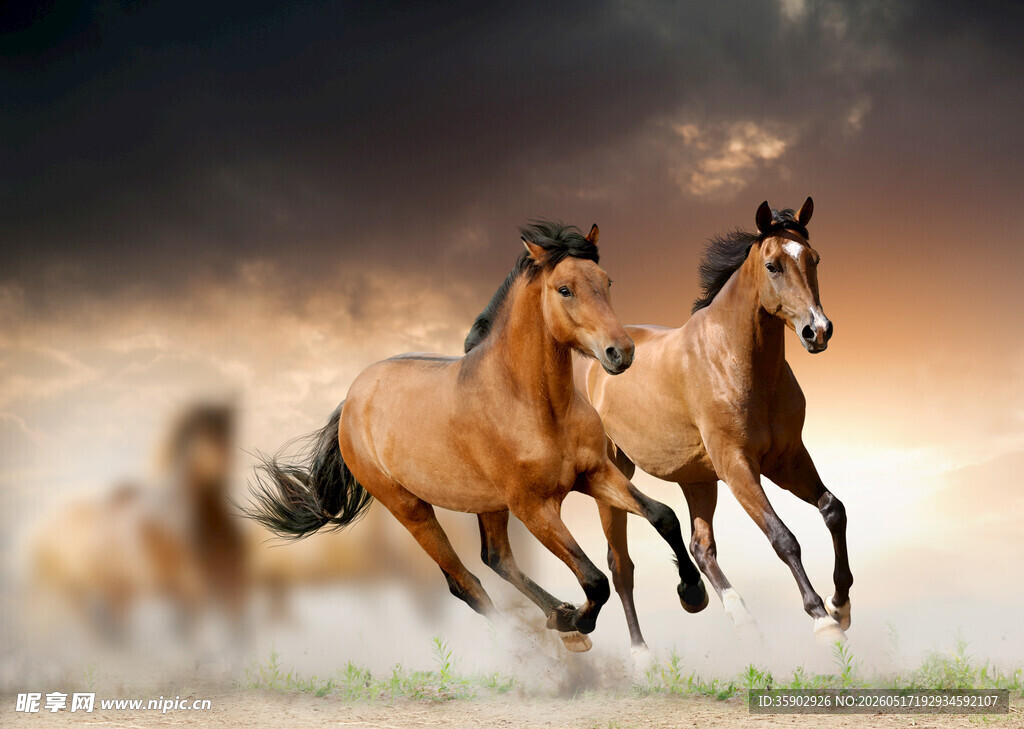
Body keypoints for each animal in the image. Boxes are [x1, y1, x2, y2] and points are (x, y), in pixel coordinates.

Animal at [243, 221, 707, 653]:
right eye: (564, 289)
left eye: (607, 281)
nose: (621, 353)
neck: (535, 404)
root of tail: (352, 399)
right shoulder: (534, 507)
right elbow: (594, 580)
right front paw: (578, 621)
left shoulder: (594, 474)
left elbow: (663, 515)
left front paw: (692, 593)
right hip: (411, 508)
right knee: (465, 583)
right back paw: (539, 641)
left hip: (488, 504)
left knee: (496, 558)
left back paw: (557, 616)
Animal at [579, 198, 852, 653]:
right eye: (773, 265)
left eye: (813, 259)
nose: (818, 331)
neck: (736, 360)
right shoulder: (738, 466)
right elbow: (783, 538)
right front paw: (821, 619)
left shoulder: (787, 459)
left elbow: (834, 510)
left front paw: (841, 604)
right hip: (615, 475)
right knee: (621, 567)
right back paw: (641, 653)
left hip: (697, 479)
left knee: (700, 547)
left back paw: (734, 615)